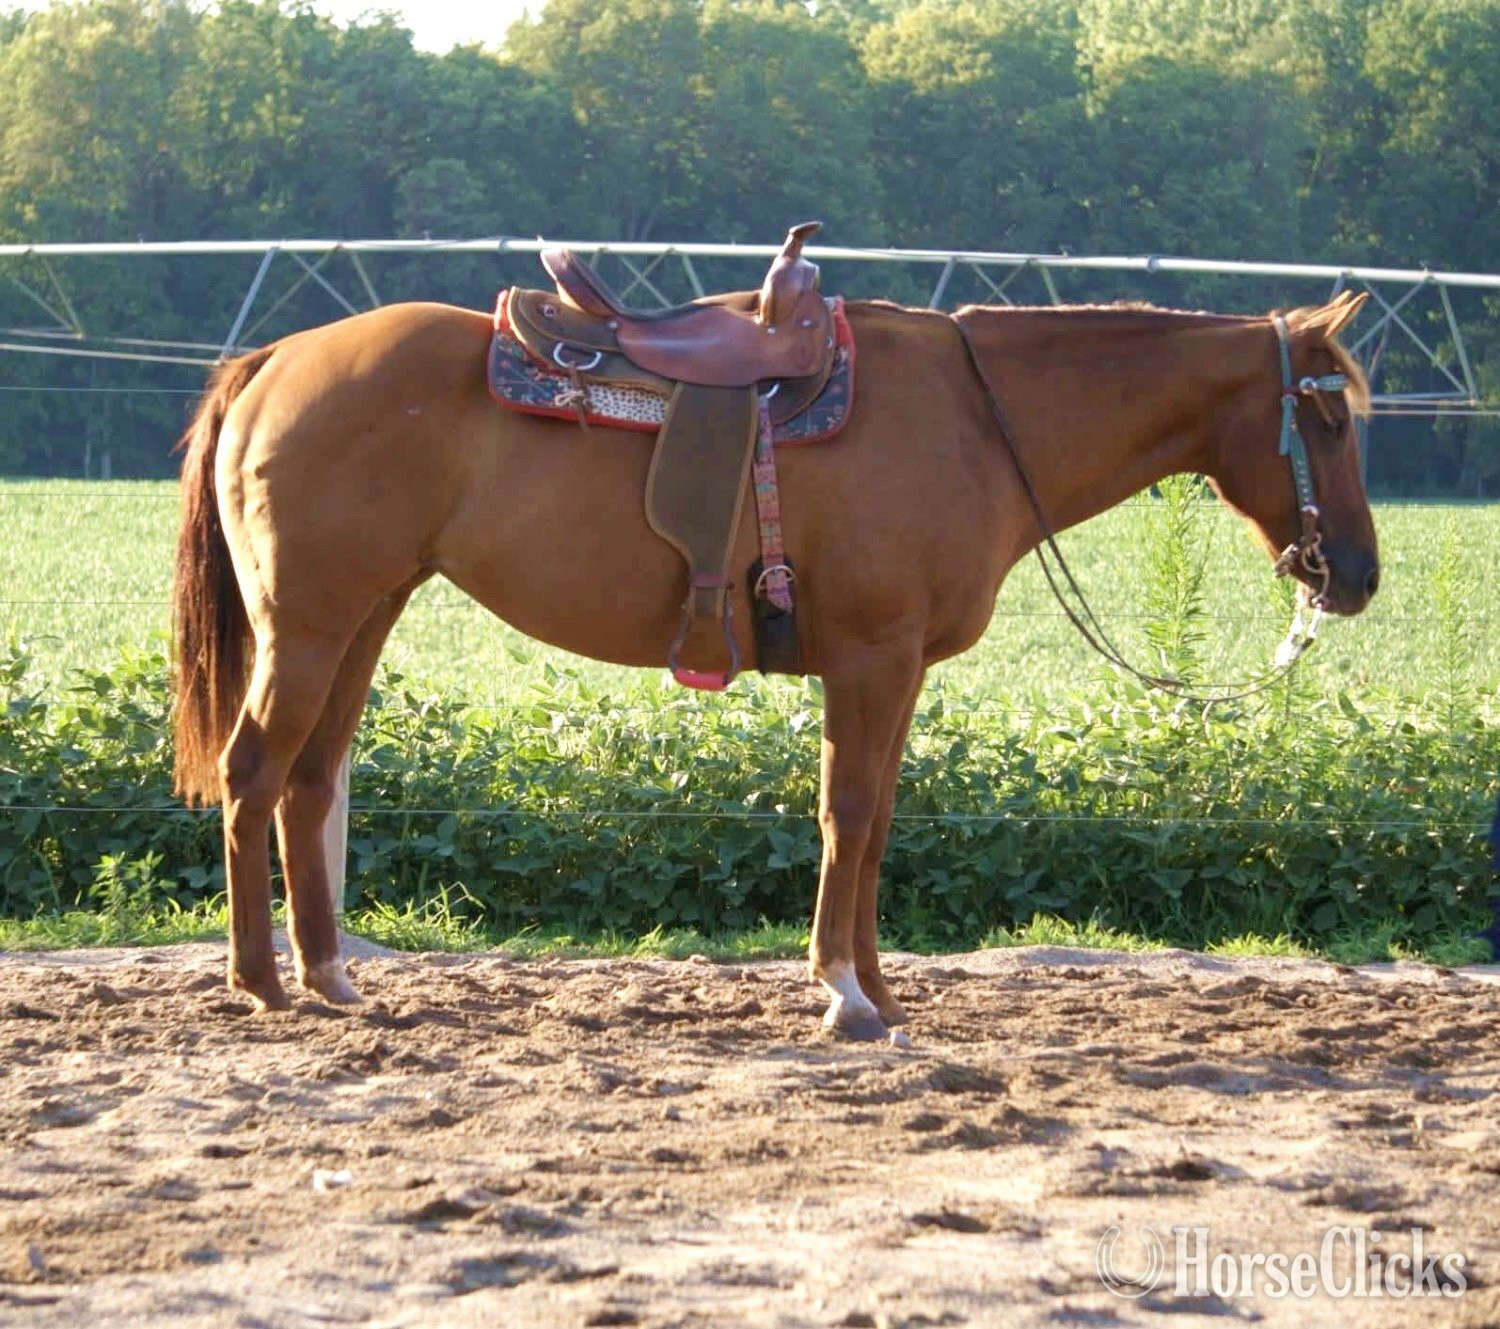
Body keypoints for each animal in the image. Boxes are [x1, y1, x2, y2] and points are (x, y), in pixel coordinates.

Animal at [171, 286, 1378, 1040]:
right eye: (1326, 418)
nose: (1357, 575)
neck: (977, 422)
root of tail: (273, 360)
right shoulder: (871, 659)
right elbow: (847, 815)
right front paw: (841, 992)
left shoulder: (901, 671)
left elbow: (879, 822)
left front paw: (881, 990)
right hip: (309, 624)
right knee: (253, 773)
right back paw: (261, 983)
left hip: (364, 616)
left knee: (310, 781)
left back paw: (329, 977)